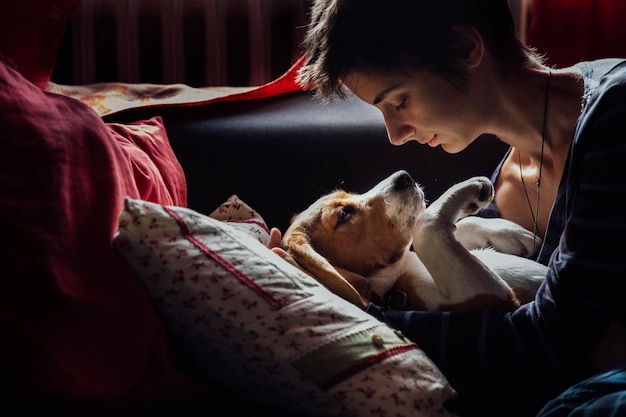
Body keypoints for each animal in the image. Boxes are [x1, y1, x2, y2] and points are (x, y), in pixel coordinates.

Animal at [280, 169, 544, 308]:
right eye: (344, 215)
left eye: (351, 194)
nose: (404, 177)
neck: (399, 269)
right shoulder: (493, 300)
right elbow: (426, 226)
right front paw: (468, 187)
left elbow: (459, 224)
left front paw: (509, 233)